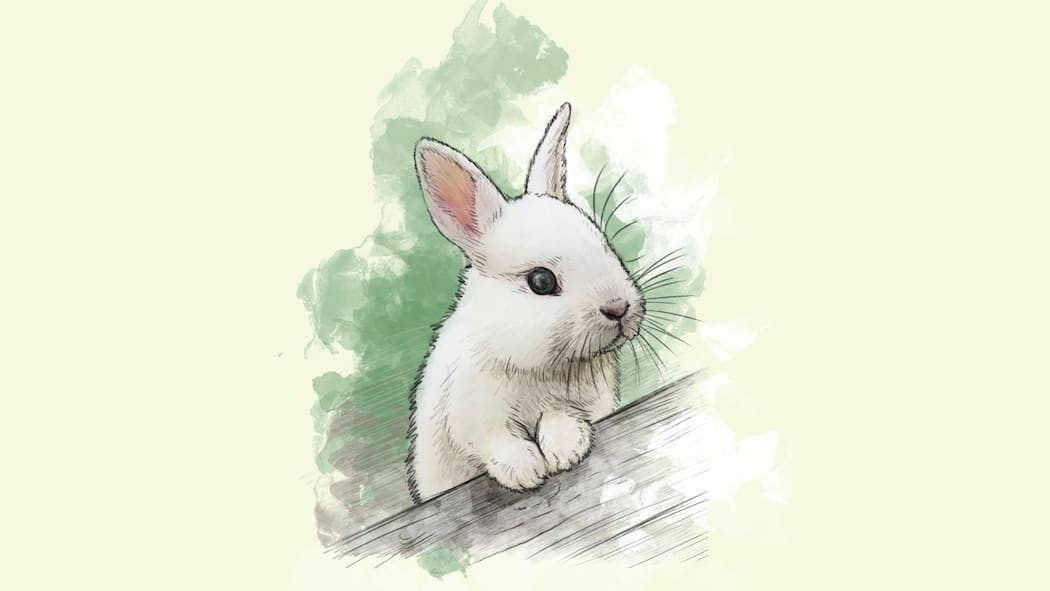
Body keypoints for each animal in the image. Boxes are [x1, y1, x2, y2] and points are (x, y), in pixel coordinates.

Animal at [406, 103, 646, 503]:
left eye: (604, 245)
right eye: (541, 281)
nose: (618, 308)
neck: (539, 366)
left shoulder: (586, 403)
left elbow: (561, 417)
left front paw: (566, 450)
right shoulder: (469, 418)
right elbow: (495, 441)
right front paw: (524, 470)